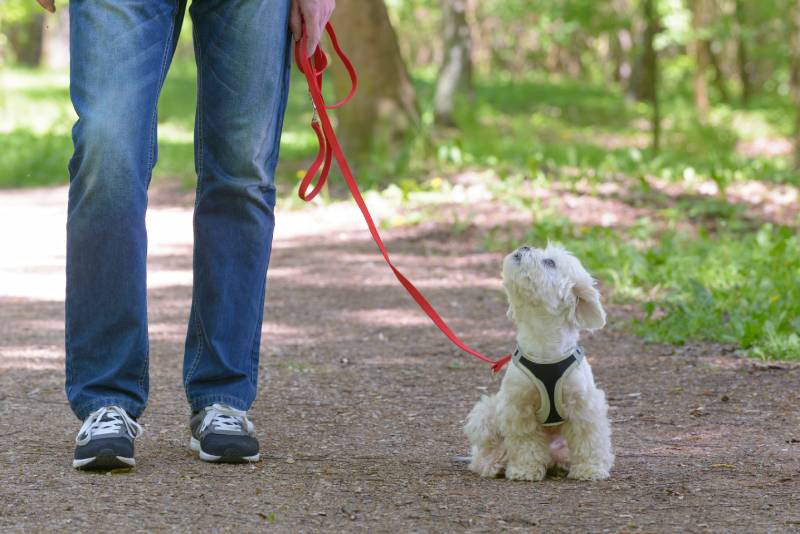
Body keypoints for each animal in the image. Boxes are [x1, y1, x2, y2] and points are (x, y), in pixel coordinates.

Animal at [462, 245, 612, 484]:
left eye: (550, 262)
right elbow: (526, 443)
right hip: (485, 414)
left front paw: (590, 469)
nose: (525, 246)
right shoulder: (517, 406)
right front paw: (525, 470)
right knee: (488, 450)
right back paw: (493, 464)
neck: (544, 345)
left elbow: (588, 440)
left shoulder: (584, 406)